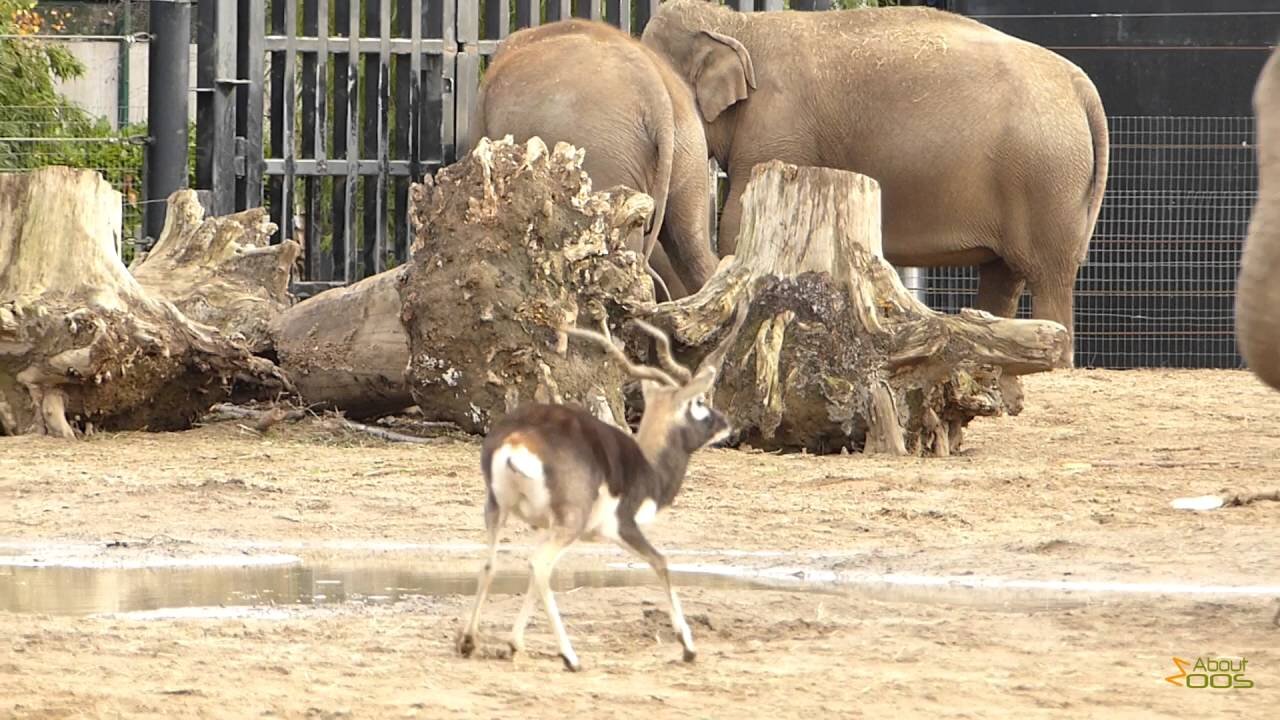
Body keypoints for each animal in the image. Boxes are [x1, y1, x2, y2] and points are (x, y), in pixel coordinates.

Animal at [455, 302, 747, 666]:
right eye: (698, 403)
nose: (726, 424)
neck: (649, 467)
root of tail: (518, 440)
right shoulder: (623, 526)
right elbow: (661, 562)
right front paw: (688, 646)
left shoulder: (544, 527)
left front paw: (514, 643)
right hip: (571, 523)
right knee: (540, 566)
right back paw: (570, 657)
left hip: (497, 509)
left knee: (493, 564)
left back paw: (469, 642)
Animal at [640, 1, 1111, 363]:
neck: (740, 25)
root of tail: (1082, 85)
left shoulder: (778, 126)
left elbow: (739, 222)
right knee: (1004, 274)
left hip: (1047, 179)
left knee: (1048, 273)